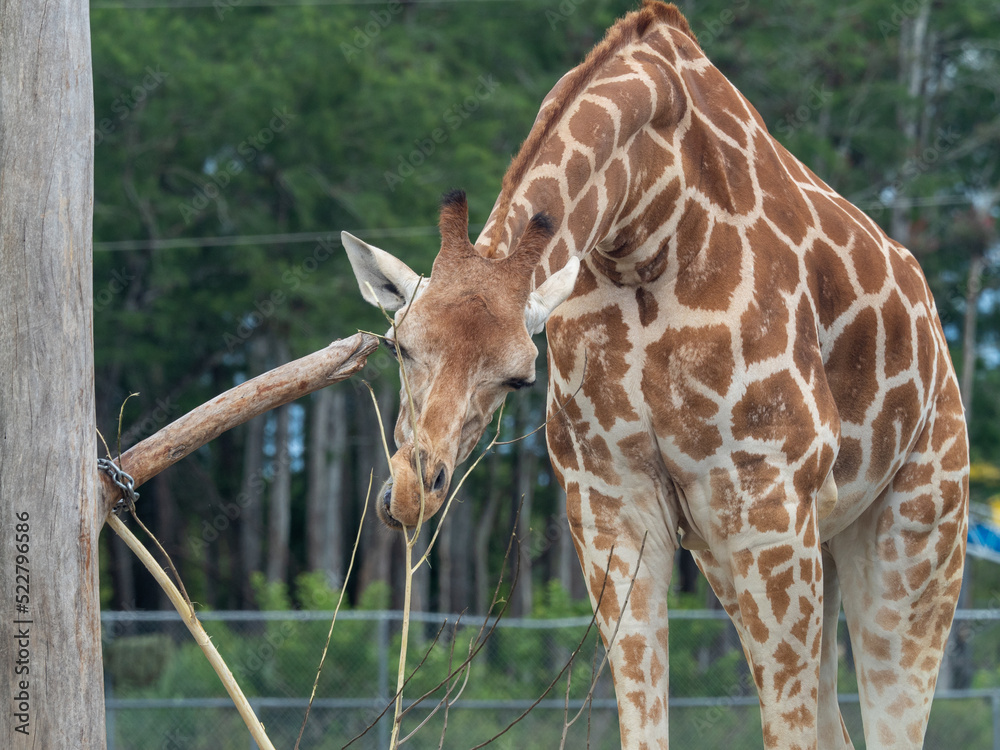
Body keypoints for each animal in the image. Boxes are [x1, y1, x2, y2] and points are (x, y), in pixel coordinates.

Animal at [342, 2, 969, 747]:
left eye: (519, 379)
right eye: (398, 346)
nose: (413, 491)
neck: (643, 232)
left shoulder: (767, 501)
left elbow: (783, 727)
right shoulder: (612, 502)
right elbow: (645, 719)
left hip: (916, 534)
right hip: (777, 547)